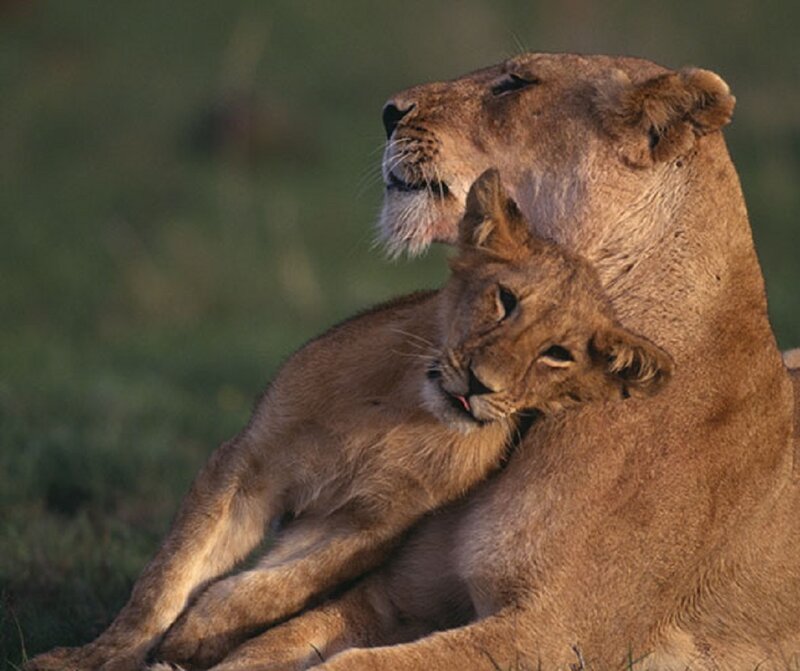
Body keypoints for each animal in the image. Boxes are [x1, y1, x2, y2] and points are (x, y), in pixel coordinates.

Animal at [25, 170, 673, 671]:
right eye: (505, 300)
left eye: (557, 354)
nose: (479, 384)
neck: (403, 410)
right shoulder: (248, 462)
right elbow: (168, 573)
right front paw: (96, 656)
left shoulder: (373, 522)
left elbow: (273, 587)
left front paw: (199, 635)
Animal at [184, 54, 797, 670]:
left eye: (516, 82)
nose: (389, 113)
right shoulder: (401, 594)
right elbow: (274, 644)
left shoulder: (554, 633)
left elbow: (359, 663)